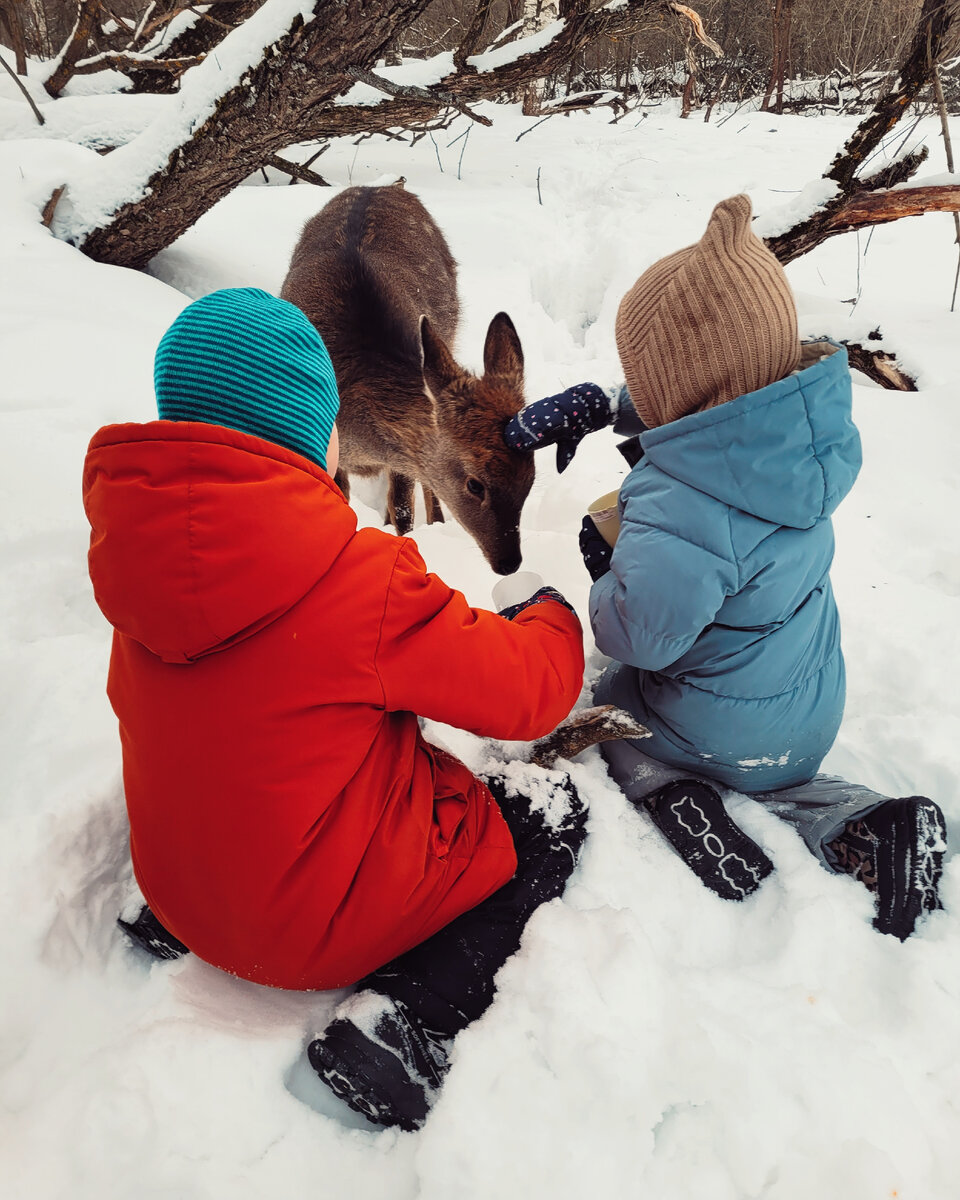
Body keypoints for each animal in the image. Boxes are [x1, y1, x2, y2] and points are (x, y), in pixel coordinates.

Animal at [279, 183, 532, 576]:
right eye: (475, 484)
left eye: (530, 479)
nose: (509, 563)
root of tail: (381, 185)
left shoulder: (403, 462)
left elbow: (403, 510)